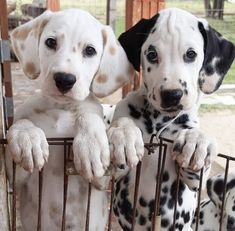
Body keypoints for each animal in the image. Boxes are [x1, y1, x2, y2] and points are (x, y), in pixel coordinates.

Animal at [5, 8, 134, 231]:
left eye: (90, 50)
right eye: (50, 42)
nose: (64, 80)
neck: (61, 108)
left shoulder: (103, 181)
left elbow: (89, 114)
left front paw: (93, 145)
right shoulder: (16, 176)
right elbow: (22, 122)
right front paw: (27, 138)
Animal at [108, 7, 235, 231]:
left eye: (191, 54)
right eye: (152, 55)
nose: (172, 94)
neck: (157, 126)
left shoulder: (194, 181)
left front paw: (196, 141)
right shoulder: (114, 173)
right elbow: (124, 122)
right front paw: (123, 135)